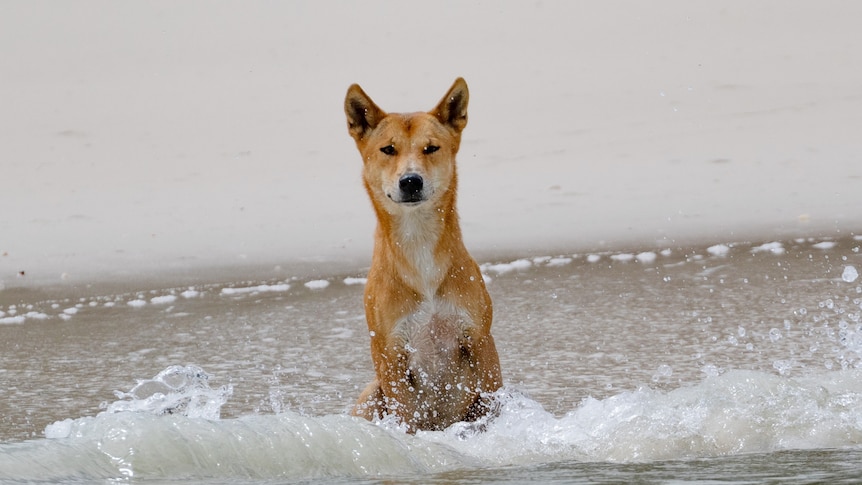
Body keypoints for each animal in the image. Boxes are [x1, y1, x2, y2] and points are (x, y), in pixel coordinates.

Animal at [344, 79, 502, 432]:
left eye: (431, 148)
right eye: (388, 149)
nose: (411, 181)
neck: (420, 253)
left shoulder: (480, 340)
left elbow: (494, 403)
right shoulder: (389, 354)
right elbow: (406, 418)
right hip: (371, 394)